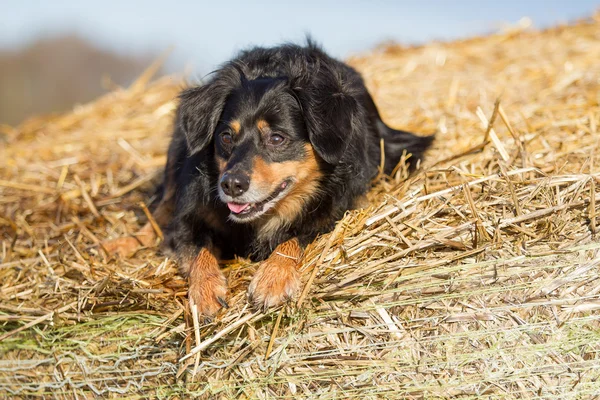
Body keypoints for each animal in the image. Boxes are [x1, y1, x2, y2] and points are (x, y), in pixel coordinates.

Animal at [103, 39, 432, 316]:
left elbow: (293, 239)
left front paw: (272, 280)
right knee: (160, 210)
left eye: (276, 138)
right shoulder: (189, 217)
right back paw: (121, 244)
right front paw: (206, 291)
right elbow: (196, 249)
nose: (231, 185)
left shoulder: (332, 215)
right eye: (225, 137)